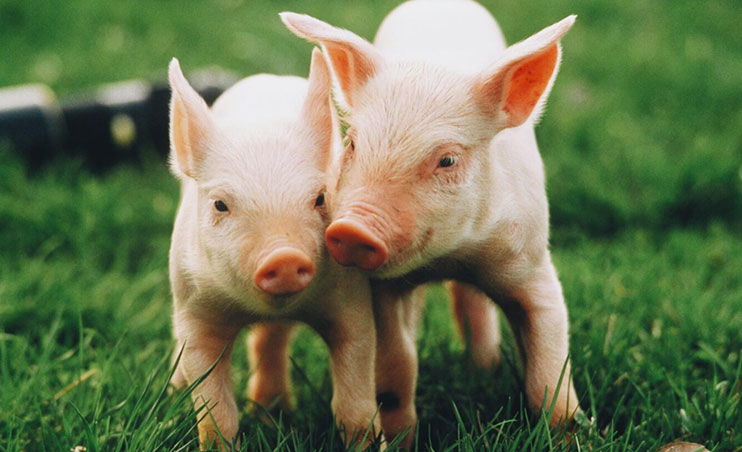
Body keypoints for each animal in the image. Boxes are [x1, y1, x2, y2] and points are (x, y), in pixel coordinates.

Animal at [166, 49, 381, 449]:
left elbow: (355, 407)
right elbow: (215, 411)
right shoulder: (195, 309)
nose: (283, 256)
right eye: (220, 204)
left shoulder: (350, 301)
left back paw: (273, 412)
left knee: (270, 339)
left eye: (320, 198)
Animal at [280, 0, 581, 444]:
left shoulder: (530, 262)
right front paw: (401, 440)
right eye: (352, 143)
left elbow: (550, 374)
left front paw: (568, 435)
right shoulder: (382, 287)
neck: (449, 256)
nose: (351, 229)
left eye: (448, 159)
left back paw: (485, 368)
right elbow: (396, 363)